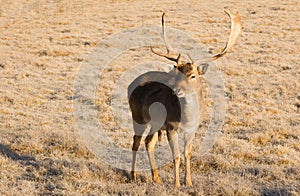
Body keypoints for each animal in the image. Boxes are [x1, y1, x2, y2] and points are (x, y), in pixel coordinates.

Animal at [127, 10, 241, 187]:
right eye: (176, 74)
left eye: (192, 75)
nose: (176, 90)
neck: (186, 118)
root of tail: (131, 84)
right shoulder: (170, 127)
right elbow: (176, 156)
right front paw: (176, 184)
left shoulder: (192, 129)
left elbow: (187, 153)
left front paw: (188, 182)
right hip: (137, 116)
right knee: (136, 141)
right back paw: (133, 175)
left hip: (155, 123)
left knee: (148, 142)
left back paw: (156, 178)